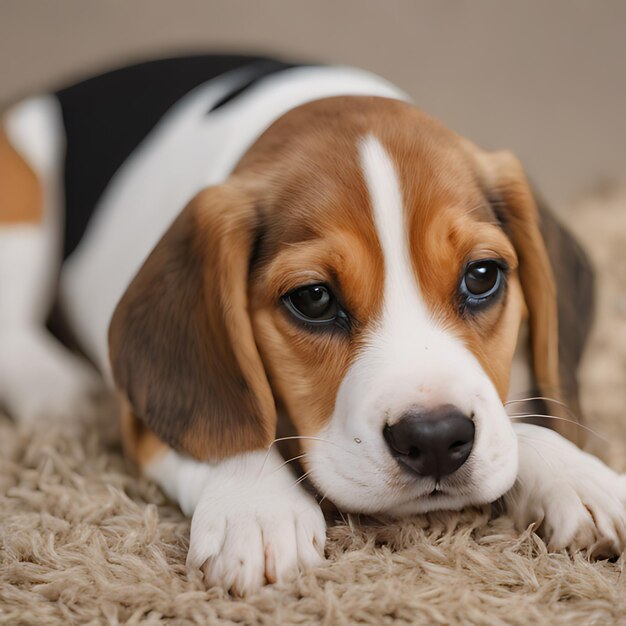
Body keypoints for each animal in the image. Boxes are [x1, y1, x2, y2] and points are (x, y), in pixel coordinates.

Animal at [1, 54, 624, 596]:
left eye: (482, 275)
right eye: (314, 299)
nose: (434, 440)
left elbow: (514, 420)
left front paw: (580, 476)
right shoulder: (145, 416)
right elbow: (237, 429)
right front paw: (256, 510)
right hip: (22, 195)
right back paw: (58, 391)